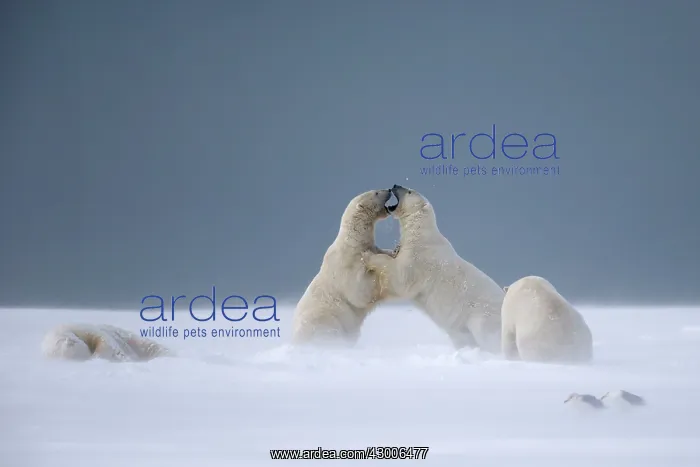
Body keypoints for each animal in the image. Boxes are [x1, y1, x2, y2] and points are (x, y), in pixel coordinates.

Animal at [290, 188, 399, 347]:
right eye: (376, 193)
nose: (389, 190)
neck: (352, 243)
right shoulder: (346, 264)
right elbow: (358, 293)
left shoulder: (371, 248)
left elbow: (383, 253)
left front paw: (396, 251)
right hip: (324, 319)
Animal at [362, 185, 504, 353]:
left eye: (409, 191)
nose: (395, 185)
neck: (421, 233)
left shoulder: (419, 258)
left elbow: (401, 280)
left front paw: (368, 256)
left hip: (481, 315)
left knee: (486, 334)